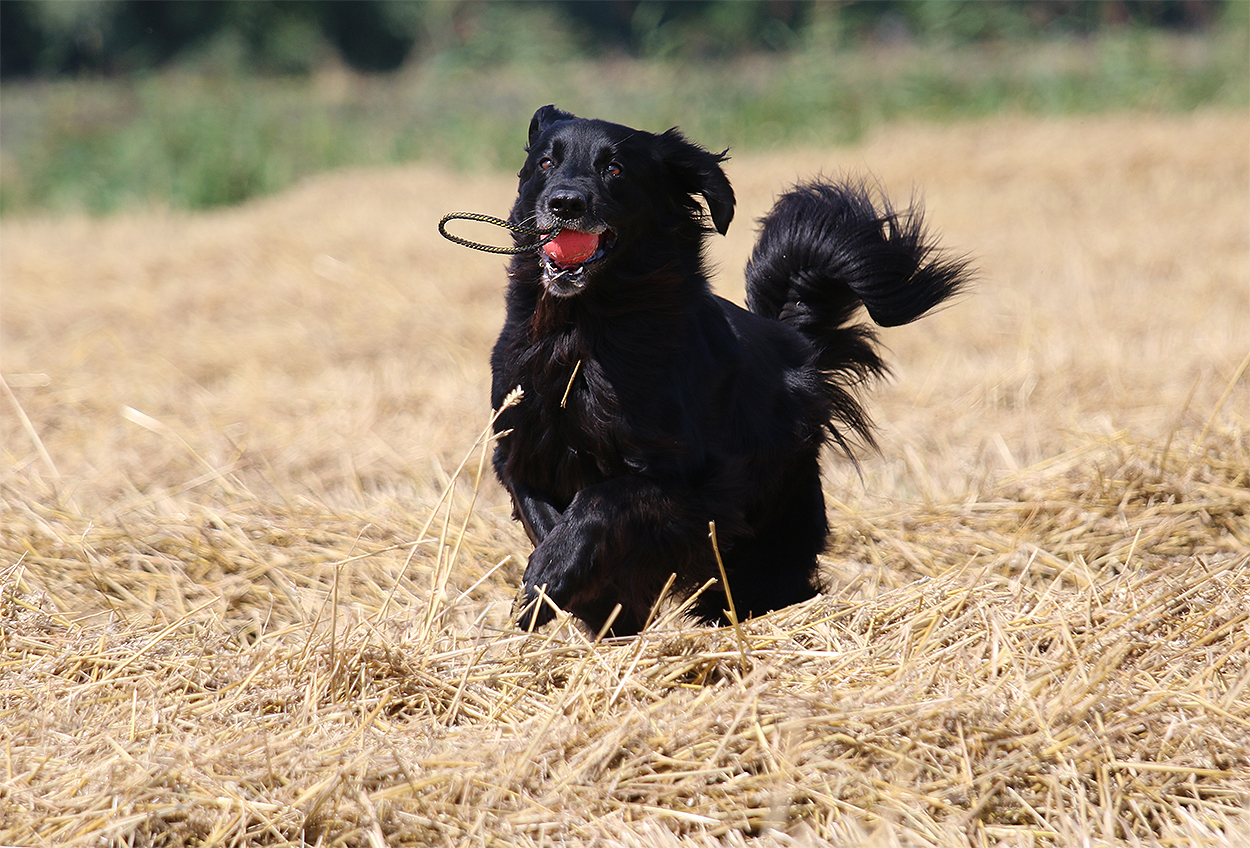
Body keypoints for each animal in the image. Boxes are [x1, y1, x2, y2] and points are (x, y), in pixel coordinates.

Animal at [490, 105, 970, 636]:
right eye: (545, 163)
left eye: (614, 169)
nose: (565, 203)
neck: (580, 332)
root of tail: (793, 342)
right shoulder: (521, 452)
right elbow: (544, 515)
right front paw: (562, 588)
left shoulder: (694, 484)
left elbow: (603, 501)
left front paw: (553, 575)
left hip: (772, 528)